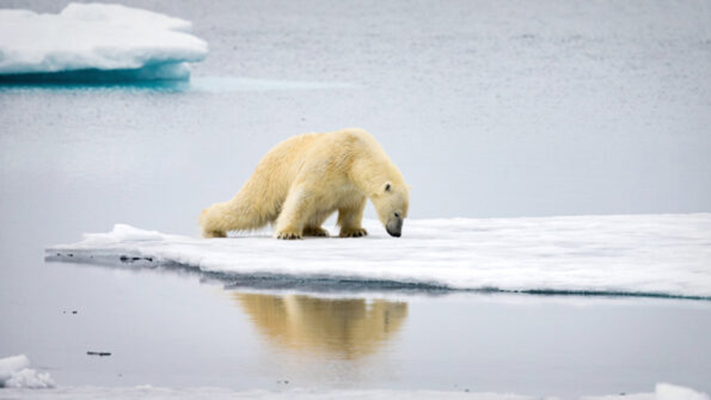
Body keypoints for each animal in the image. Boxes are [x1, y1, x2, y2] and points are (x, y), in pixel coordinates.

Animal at [200, 130, 412, 239]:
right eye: (396, 213)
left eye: (405, 216)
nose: (397, 233)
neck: (356, 155)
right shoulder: (327, 163)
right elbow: (302, 196)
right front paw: (288, 233)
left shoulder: (351, 187)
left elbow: (352, 207)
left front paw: (356, 231)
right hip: (269, 179)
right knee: (249, 208)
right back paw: (209, 225)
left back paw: (316, 229)